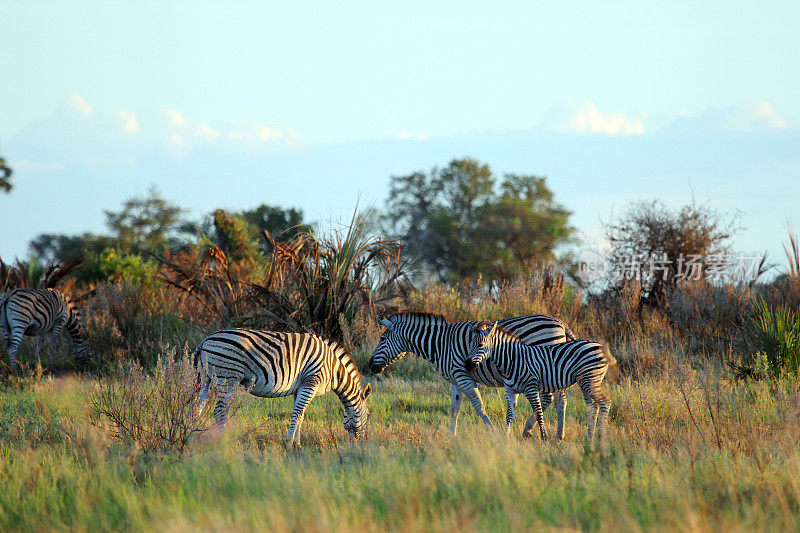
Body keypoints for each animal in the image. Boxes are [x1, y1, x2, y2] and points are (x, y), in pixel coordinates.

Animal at [194, 328, 372, 444]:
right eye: (369, 415)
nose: (361, 444)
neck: (334, 369)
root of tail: (205, 340)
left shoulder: (300, 387)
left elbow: (301, 415)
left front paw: (297, 443)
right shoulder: (311, 383)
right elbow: (298, 414)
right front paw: (288, 443)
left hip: (206, 379)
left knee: (197, 408)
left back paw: (191, 437)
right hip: (228, 377)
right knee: (219, 411)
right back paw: (224, 440)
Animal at [368, 312, 576, 436]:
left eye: (382, 338)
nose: (370, 366)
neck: (440, 344)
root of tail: (560, 323)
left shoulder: (463, 376)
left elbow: (479, 406)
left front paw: (492, 432)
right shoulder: (455, 379)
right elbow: (454, 408)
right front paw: (451, 437)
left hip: (546, 365)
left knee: (549, 398)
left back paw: (528, 429)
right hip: (555, 368)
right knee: (560, 401)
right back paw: (559, 435)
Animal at [466, 320, 616, 440]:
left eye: (480, 345)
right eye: (471, 344)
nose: (467, 365)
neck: (511, 360)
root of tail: (600, 346)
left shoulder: (531, 387)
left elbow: (538, 411)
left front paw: (544, 437)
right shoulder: (511, 391)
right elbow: (509, 414)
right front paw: (505, 436)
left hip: (590, 380)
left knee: (604, 402)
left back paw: (600, 437)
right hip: (585, 382)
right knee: (593, 407)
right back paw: (589, 438)